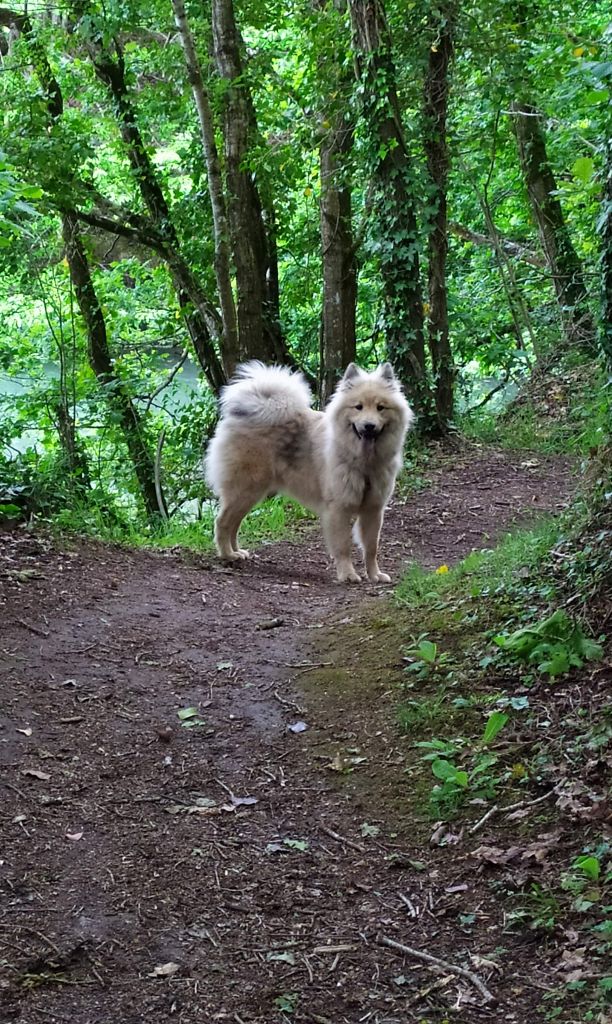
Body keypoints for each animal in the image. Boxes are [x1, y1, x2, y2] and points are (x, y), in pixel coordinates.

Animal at [207, 362, 417, 585]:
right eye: (358, 407)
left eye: (380, 407)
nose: (369, 426)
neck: (363, 463)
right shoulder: (339, 509)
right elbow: (343, 547)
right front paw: (348, 574)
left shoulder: (373, 509)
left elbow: (371, 547)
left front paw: (374, 575)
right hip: (245, 490)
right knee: (222, 522)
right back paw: (227, 554)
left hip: (250, 494)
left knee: (234, 524)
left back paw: (237, 552)